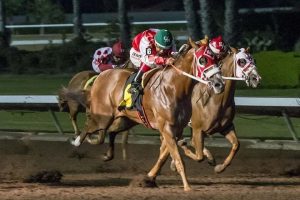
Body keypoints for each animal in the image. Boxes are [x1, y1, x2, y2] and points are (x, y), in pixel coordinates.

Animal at [67, 38, 224, 191]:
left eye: (216, 59)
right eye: (202, 60)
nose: (219, 84)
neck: (173, 88)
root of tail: (101, 76)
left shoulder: (176, 128)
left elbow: (167, 156)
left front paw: (149, 178)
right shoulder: (166, 128)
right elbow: (177, 159)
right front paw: (187, 187)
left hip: (126, 120)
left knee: (111, 132)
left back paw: (106, 154)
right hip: (103, 117)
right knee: (89, 127)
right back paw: (76, 141)